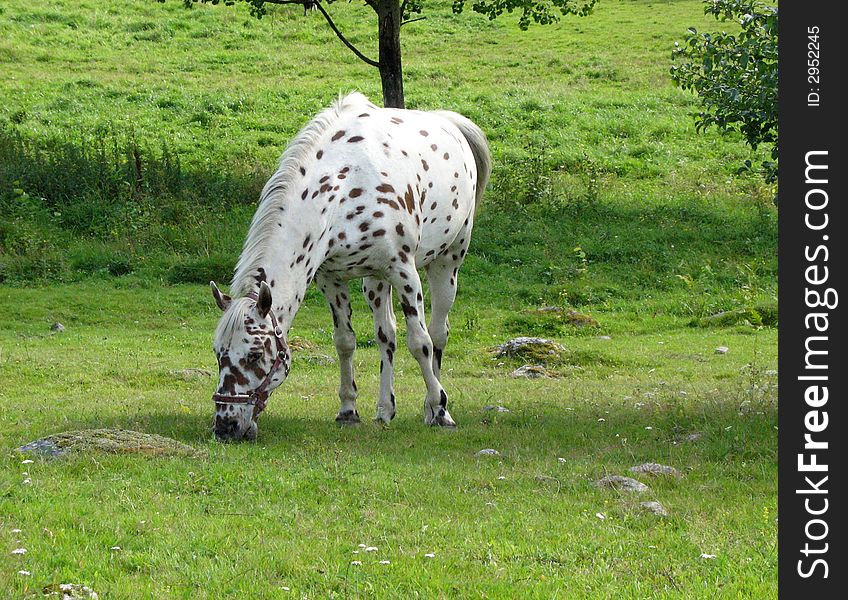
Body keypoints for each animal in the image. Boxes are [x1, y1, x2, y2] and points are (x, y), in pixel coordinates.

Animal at [208, 92, 494, 440]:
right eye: (218, 352)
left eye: (255, 354)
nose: (226, 426)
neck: (345, 185)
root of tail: (450, 121)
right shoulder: (331, 278)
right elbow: (345, 341)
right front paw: (348, 409)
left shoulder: (404, 272)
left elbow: (420, 342)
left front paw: (440, 408)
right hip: (375, 281)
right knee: (387, 335)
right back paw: (385, 409)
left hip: (446, 263)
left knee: (437, 334)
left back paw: (433, 407)